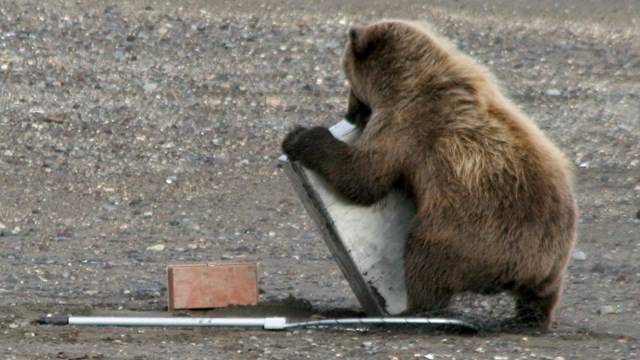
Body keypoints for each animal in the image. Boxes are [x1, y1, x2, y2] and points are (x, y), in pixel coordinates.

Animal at [282, 19, 576, 330]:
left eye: (349, 81)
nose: (350, 113)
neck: (407, 79)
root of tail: (524, 268)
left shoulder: (405, 125)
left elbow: (364, 177)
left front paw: (300, 137)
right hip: (551, 258)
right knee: (543, 293)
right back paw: (529, 318)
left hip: (471, 230)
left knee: (426, 258)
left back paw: (414, 310)